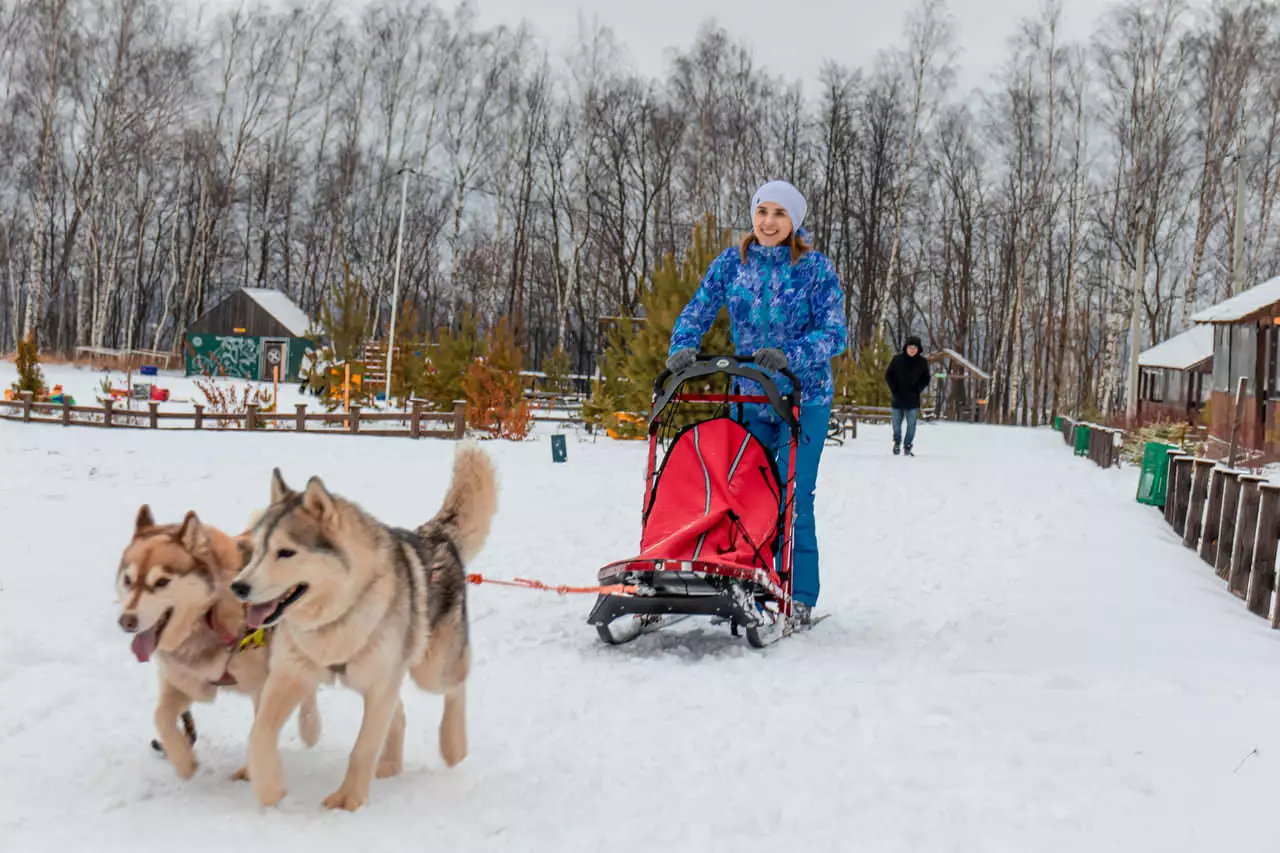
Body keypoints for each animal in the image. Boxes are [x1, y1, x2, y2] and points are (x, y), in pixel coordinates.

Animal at [117, 504, 322, 778]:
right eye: (128, 581)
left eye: (161, 582)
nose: (126, 621)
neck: (208, 615)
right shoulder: (185, 680)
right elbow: (161, 716)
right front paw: (184, 761)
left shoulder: (263, 684)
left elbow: (260, 728)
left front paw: (252, 770)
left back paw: (310, 728)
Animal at [235, 440, 499, 809]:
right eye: (257, 549)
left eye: (285, 552)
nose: (238, 587)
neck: (337, 616)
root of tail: (436, 536)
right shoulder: (290, 674)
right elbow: (258, 733)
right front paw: (269, 788)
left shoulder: (379, 687)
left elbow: (362, 749)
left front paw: (349, 799)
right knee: (400, 713)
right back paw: (389, 763)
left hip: (430, 670)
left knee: (455, 687)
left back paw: (452, 745)